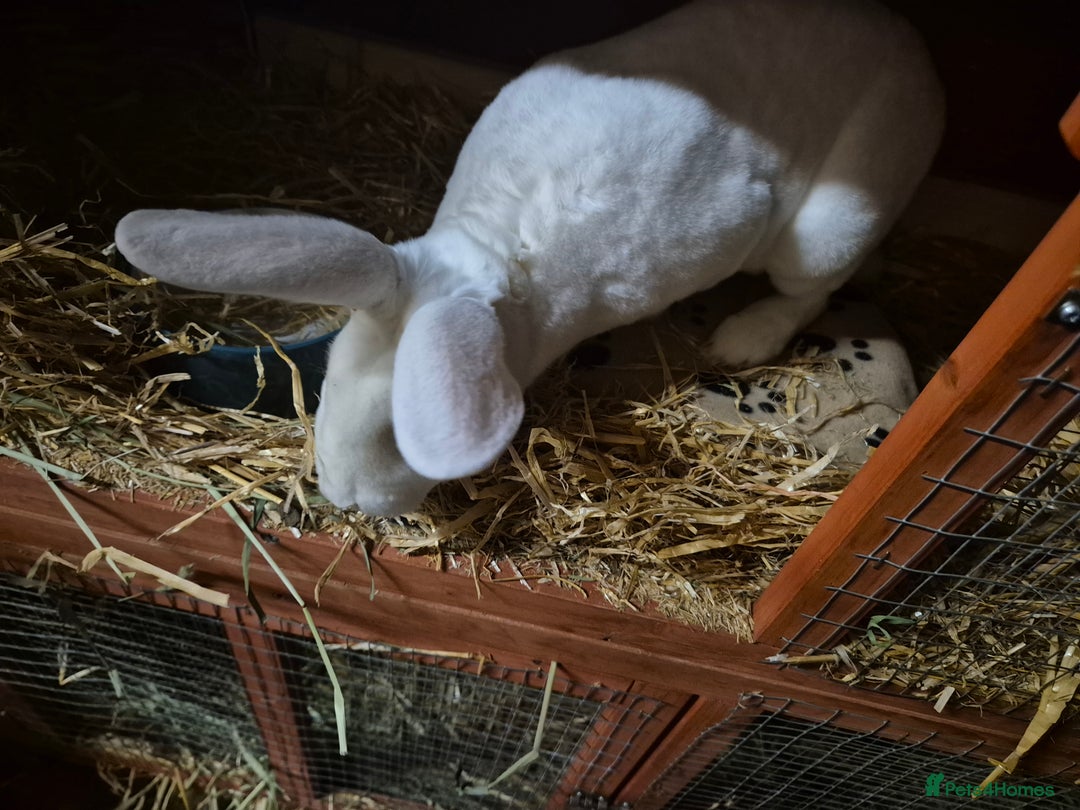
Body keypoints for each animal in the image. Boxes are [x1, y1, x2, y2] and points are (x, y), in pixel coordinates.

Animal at [114, 0, 944, 516]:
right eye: (328, 385)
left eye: (400, 434)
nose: (346, 498)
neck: (490, 260)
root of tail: (910, 43)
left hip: (833, 225)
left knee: (812, 290)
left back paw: (741, 340)